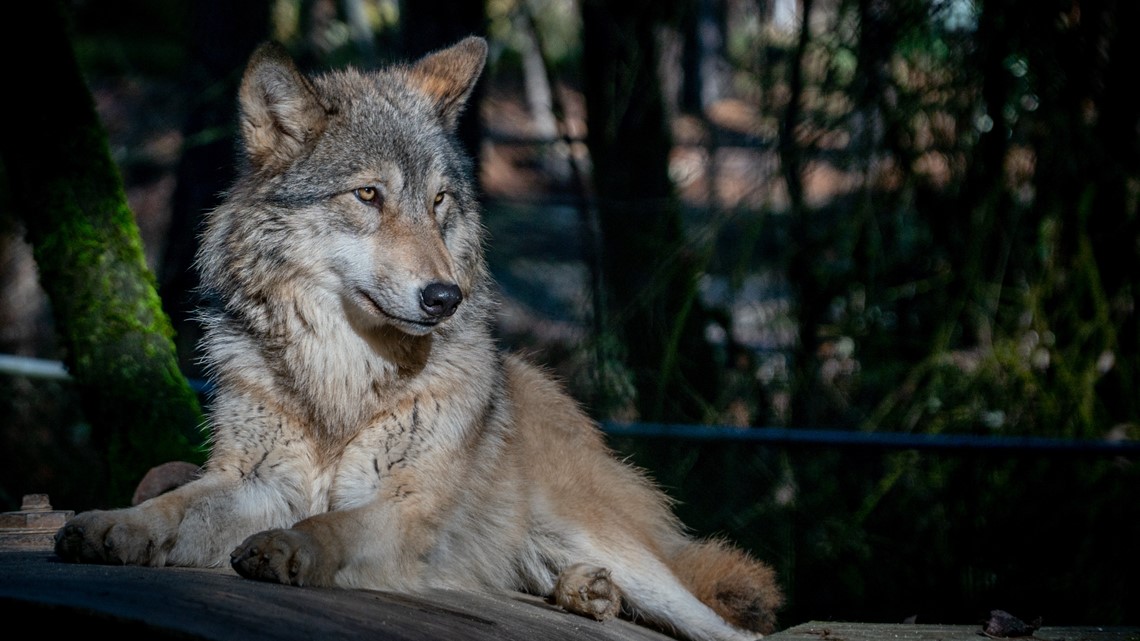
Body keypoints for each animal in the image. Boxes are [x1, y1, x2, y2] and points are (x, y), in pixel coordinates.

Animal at [53, 37, 784, 641]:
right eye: (368, 195)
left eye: (438, 202)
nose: (444, 297)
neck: (342, 375)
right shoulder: (256, 481)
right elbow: (176, 503)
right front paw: (113, 524)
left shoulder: (410, 507)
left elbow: (330, 522)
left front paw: (291, 548)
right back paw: (585, 592)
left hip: (631, 559)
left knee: (729, 629)